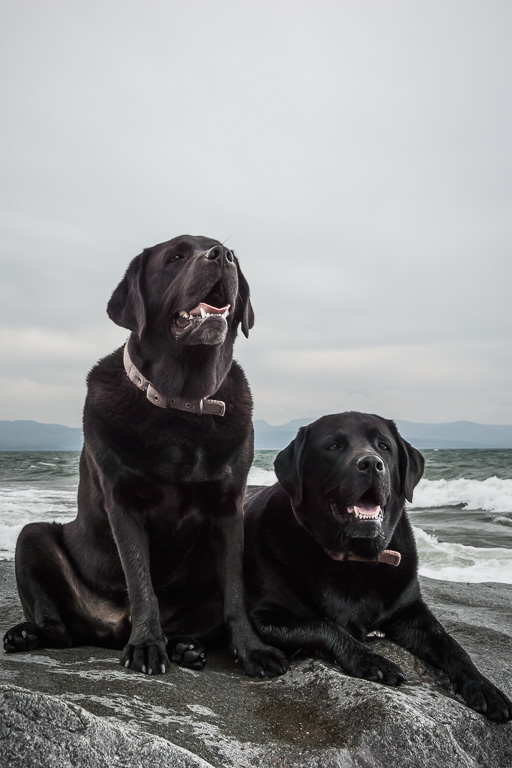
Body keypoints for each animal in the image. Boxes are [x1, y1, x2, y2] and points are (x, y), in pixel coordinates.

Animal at [4, 234, 286, 680]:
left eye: (232, 256)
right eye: (176, 256)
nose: (222, 256)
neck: (182, 406)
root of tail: (110, 628)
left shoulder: (230, 508)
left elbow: (235, 594)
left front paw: (251, 649)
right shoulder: (124, 503)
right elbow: (140, 582)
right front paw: (146, 645)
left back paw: (186, 646)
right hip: (32, 538)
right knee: (58, 627)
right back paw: (29, 634)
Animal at [245, 414, 512, 720]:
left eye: (384, 446)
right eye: (333, 446)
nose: (371, 463)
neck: (356, 559)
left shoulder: (411, 612)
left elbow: (452, 646)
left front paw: (484, 687)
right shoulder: (266, 617)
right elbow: (324, 625)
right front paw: (372, 660)